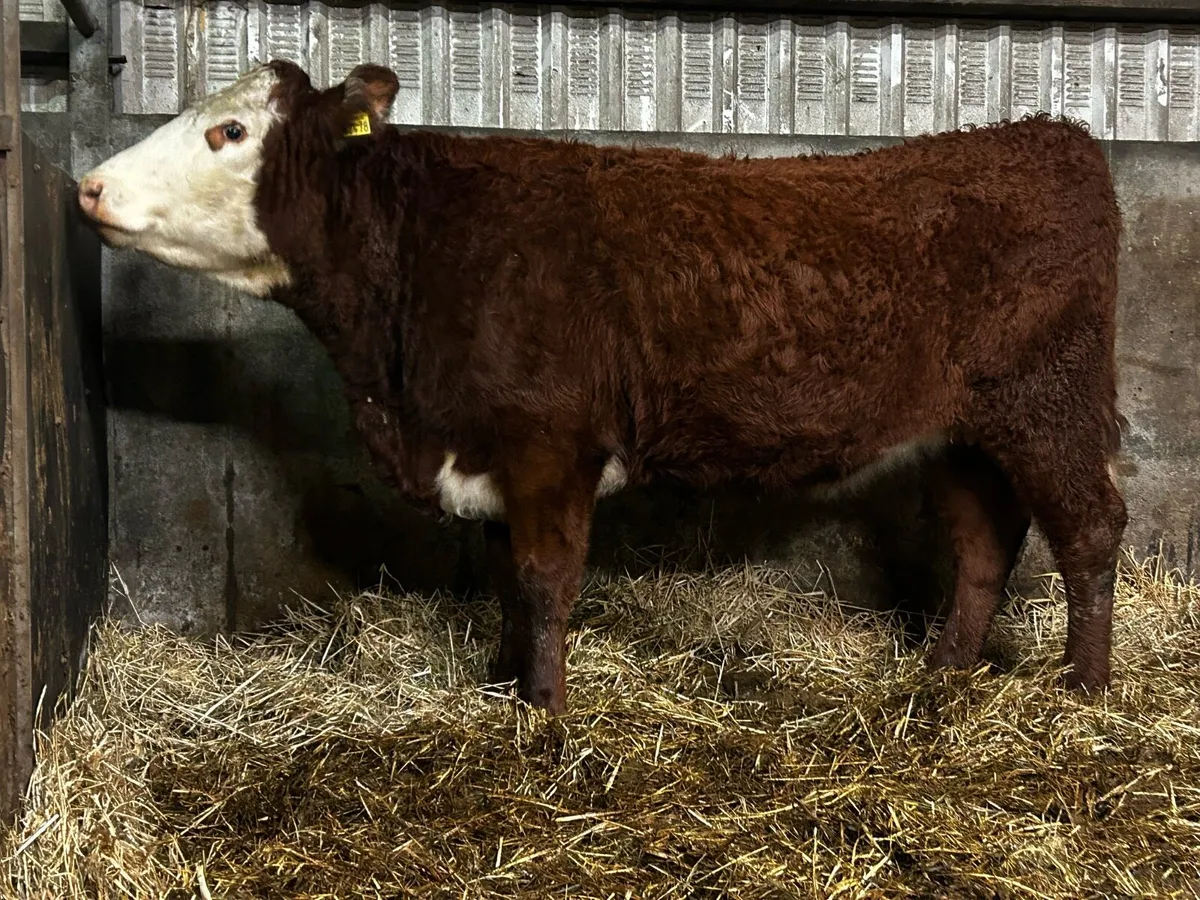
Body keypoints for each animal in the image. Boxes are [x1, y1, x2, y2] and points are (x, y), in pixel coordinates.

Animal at [77, 59, 1128, 715]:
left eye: (230, 130)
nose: (88, 187)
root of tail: (1051, 136)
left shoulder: (549, 444)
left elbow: (545, 579)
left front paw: (543, 711)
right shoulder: (490, 452)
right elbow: (505, 577)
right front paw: (501, 686)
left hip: (1051, 403)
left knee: (1089, 530)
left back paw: (1084, 688)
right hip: (963, 430)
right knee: (984, 543)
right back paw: (945, 670)